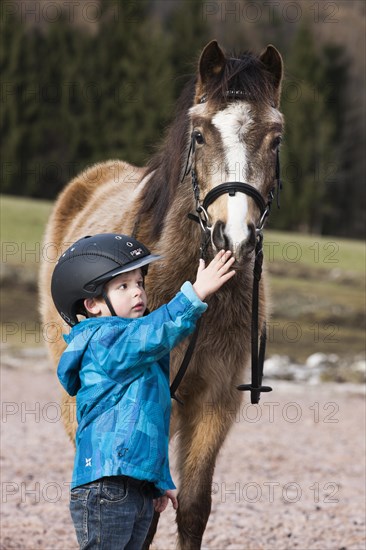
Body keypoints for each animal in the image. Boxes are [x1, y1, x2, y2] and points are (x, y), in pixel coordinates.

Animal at [40, 41, 286, 548]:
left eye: (275, 139)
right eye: (200, 135)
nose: (233, 238)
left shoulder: (215, 401)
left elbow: (191, 509)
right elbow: (143, 511)